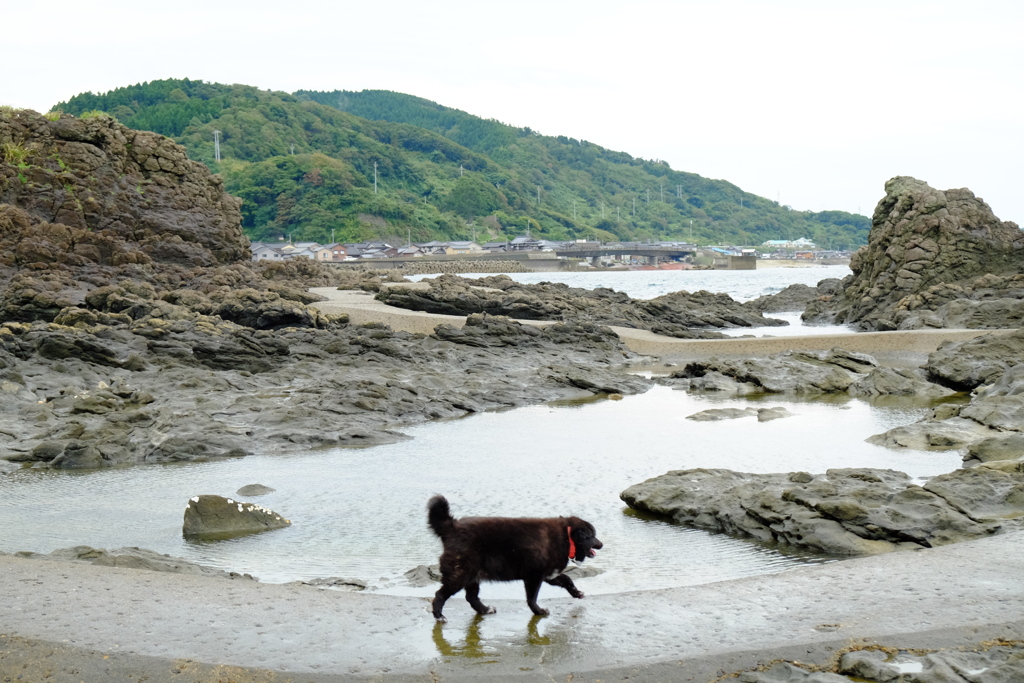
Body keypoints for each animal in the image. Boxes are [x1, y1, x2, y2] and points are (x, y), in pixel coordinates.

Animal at [428, 493, 602, 622]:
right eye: (592, 535)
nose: (601, 544)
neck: (566, 537)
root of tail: (451, 527)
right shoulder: (534, 577)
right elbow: (532, 598)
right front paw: (539, 611)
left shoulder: (549, 575)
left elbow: (567, 580)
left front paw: (577, 593)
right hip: (461, 574)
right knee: (440, 595)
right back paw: (439, 616)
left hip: (472, 576)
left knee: (471, 597)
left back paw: (485, 609)